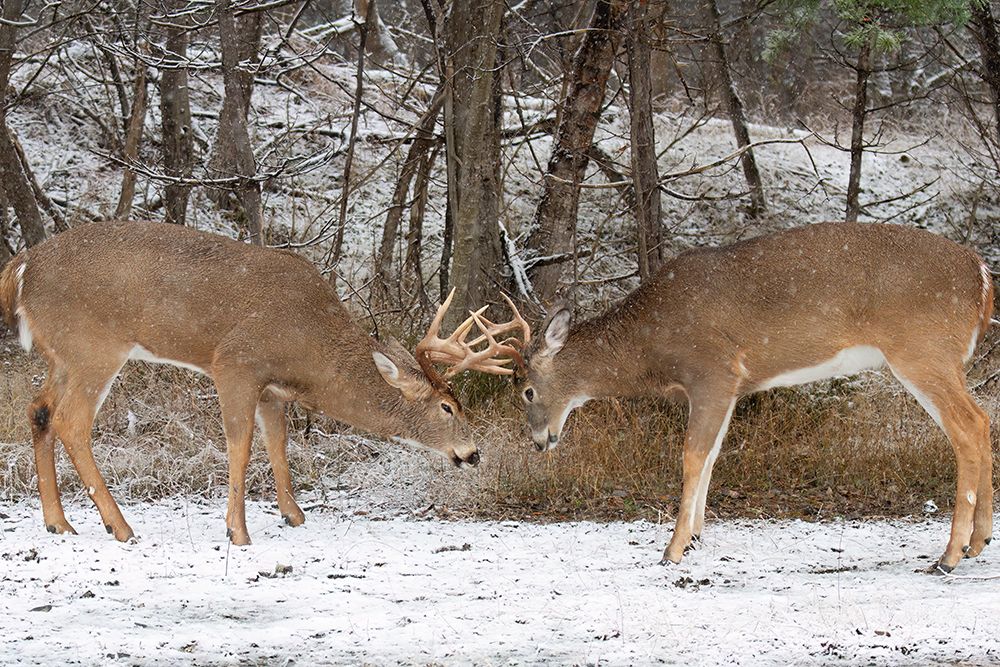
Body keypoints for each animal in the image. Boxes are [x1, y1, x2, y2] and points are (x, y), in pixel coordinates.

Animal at [0, 221, 528, 546]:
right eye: (447, 407)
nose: (473, 453)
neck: (309, 344)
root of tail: (20, 268)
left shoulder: (273, 390)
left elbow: (278, 445)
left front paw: (294, 514)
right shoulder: (235, 362)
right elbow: (240, 446)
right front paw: (238, 532)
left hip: (63, 354)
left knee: (38, 410)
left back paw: (58, 524)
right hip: (94, 347)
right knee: (71, 422)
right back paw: (120, 527)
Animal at [515, 222, 996, 574]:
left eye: (527, 390)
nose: (538, 441)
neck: (651, 341)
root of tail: (982, 276)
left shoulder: (712, 371)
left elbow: (692, 455)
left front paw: (672, 549)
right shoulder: (731, 386)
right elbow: (712, 454)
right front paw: (696, 536)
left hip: (922, 351)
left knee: (968, 426)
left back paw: (949, 555)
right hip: (936, 357)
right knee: (984, 420)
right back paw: (979, 542)